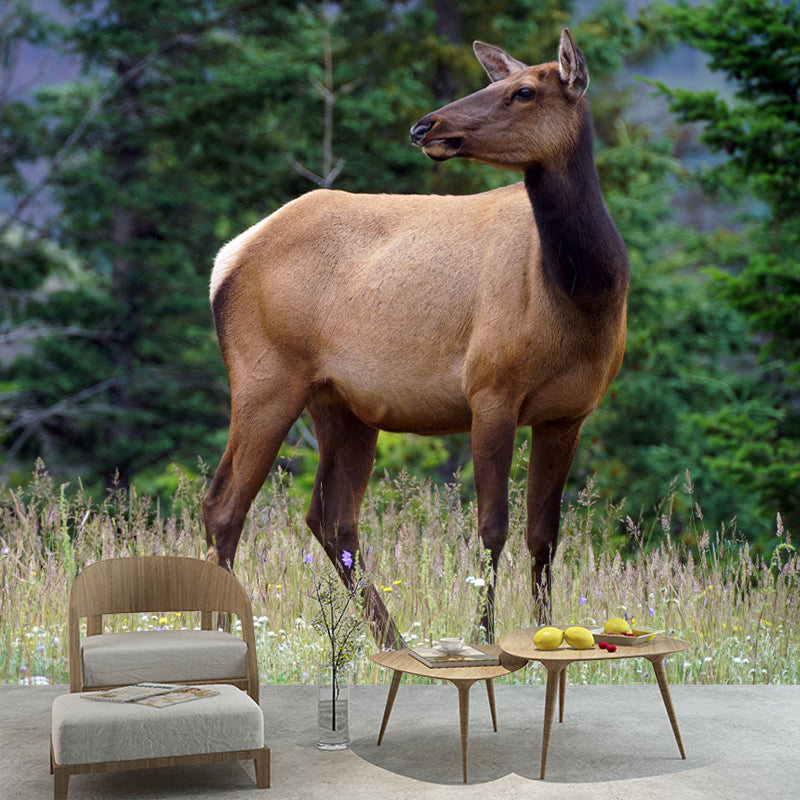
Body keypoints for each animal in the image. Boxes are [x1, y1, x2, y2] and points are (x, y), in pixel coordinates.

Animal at [202, 29, 629, 649]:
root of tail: (225, 260)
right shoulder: (490, 390)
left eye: (523, 90)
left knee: (330, 516)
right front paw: (485, 638)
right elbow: (492, 527)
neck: (583, 297)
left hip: (342, 403)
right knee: (224, 505)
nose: (425, 126)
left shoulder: (569, 412)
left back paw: (392, 641)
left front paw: (547, 633)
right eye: (497, 81)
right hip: (266, 376)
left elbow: (543, 536)